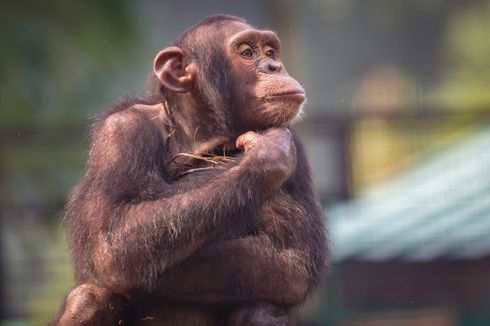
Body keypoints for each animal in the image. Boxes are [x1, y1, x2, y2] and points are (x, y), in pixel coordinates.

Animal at [55, 14, 328, 324]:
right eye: (247, 52)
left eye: (270, 52)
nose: (274, 66)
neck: (202, 135)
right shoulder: (120, 131)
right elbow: (109, 243)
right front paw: (266, 152)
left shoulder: (298, 150)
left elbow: (290, 261)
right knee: (89, 297)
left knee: (261, 308)